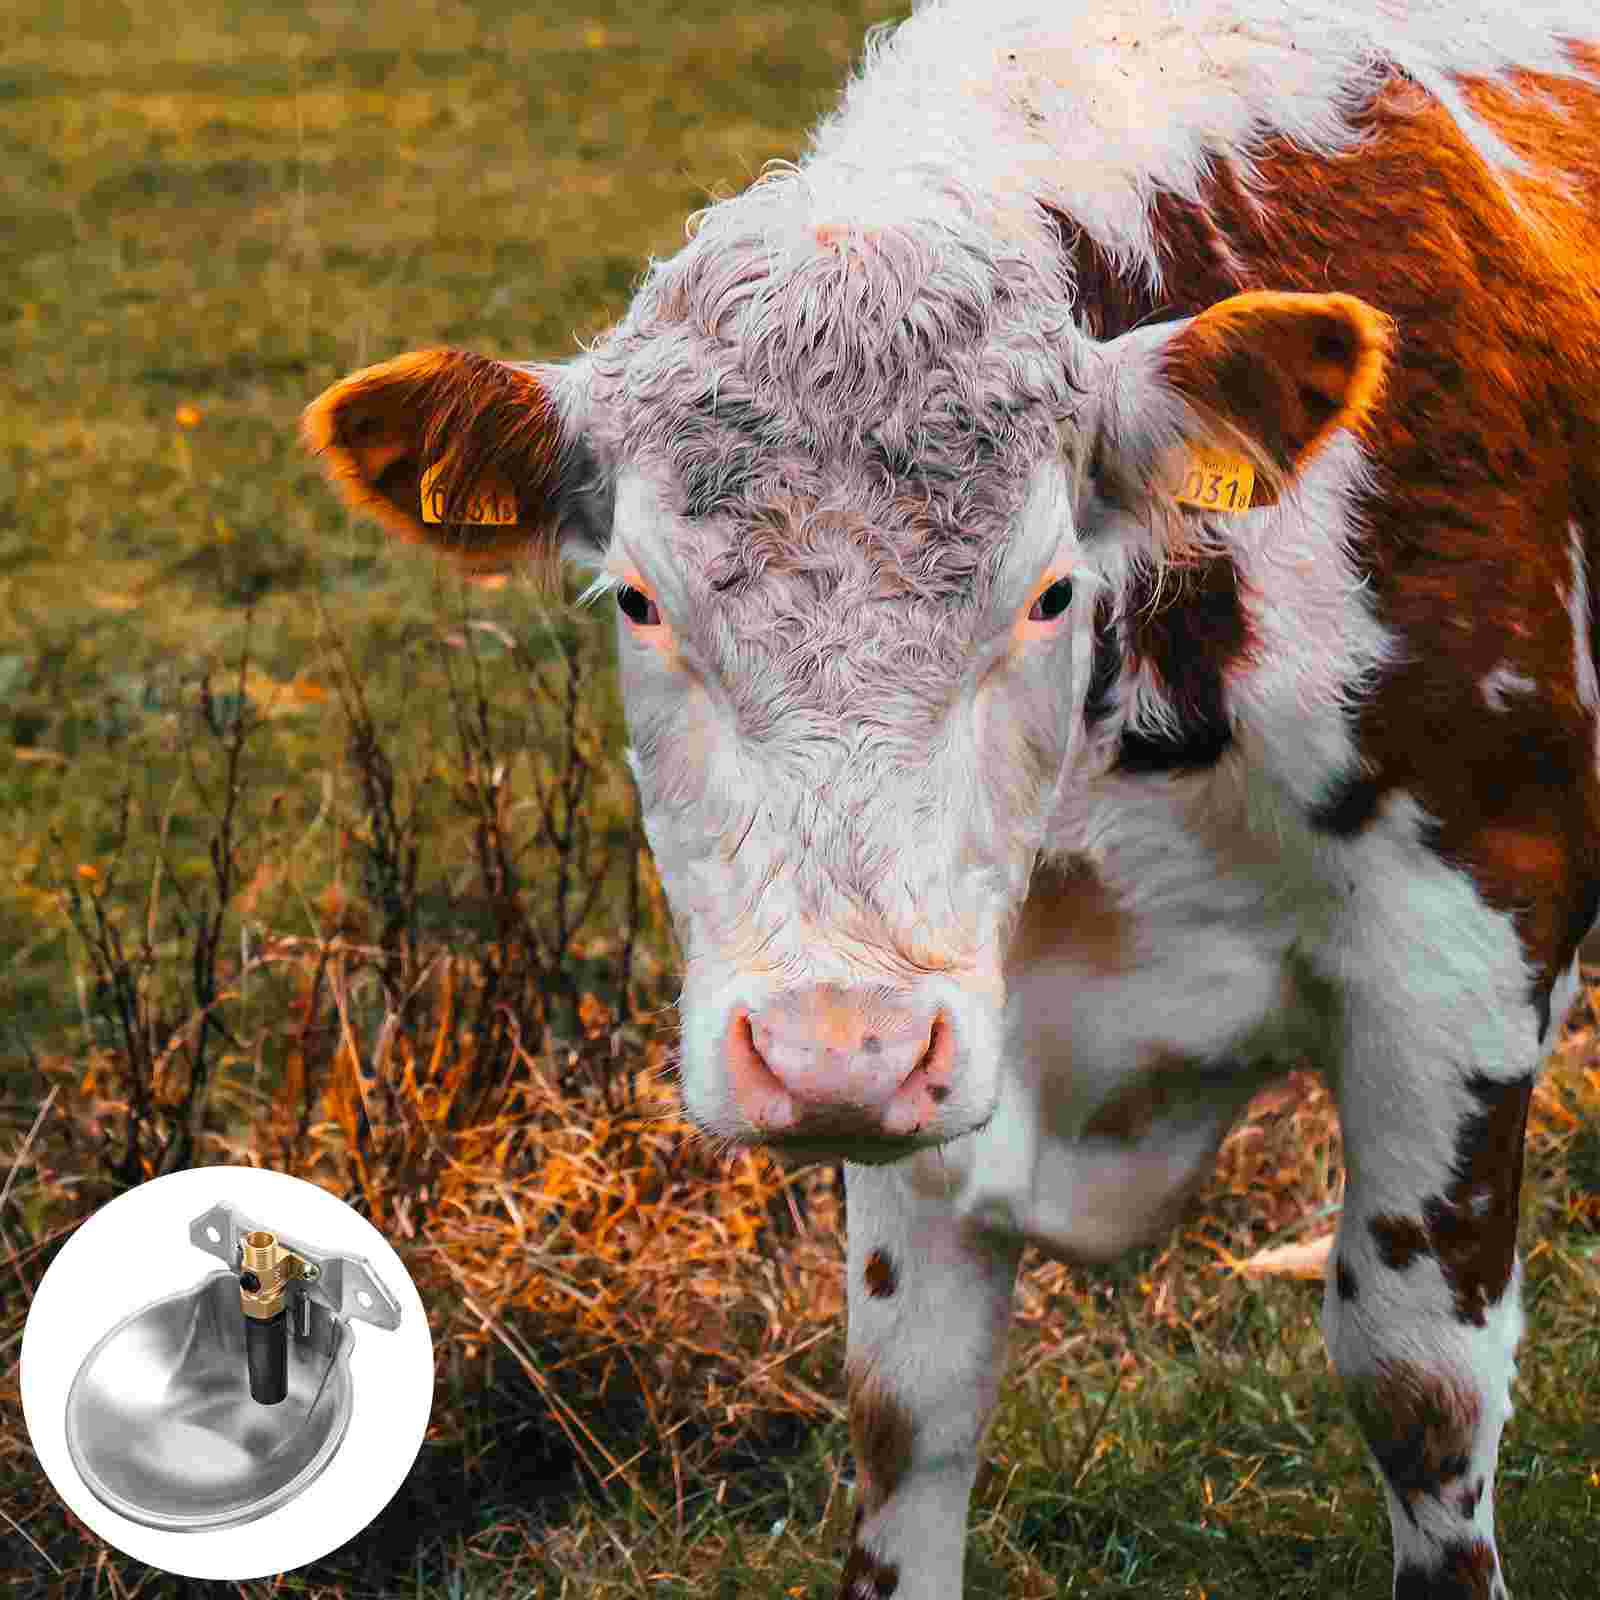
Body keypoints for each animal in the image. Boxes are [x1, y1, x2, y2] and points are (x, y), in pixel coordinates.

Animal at [300, 4, 1600, 1595]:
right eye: (639, 598)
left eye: (1049, 591)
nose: (828, 1055)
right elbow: (906, 1411)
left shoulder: (1463, 953)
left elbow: (1420, 1390)